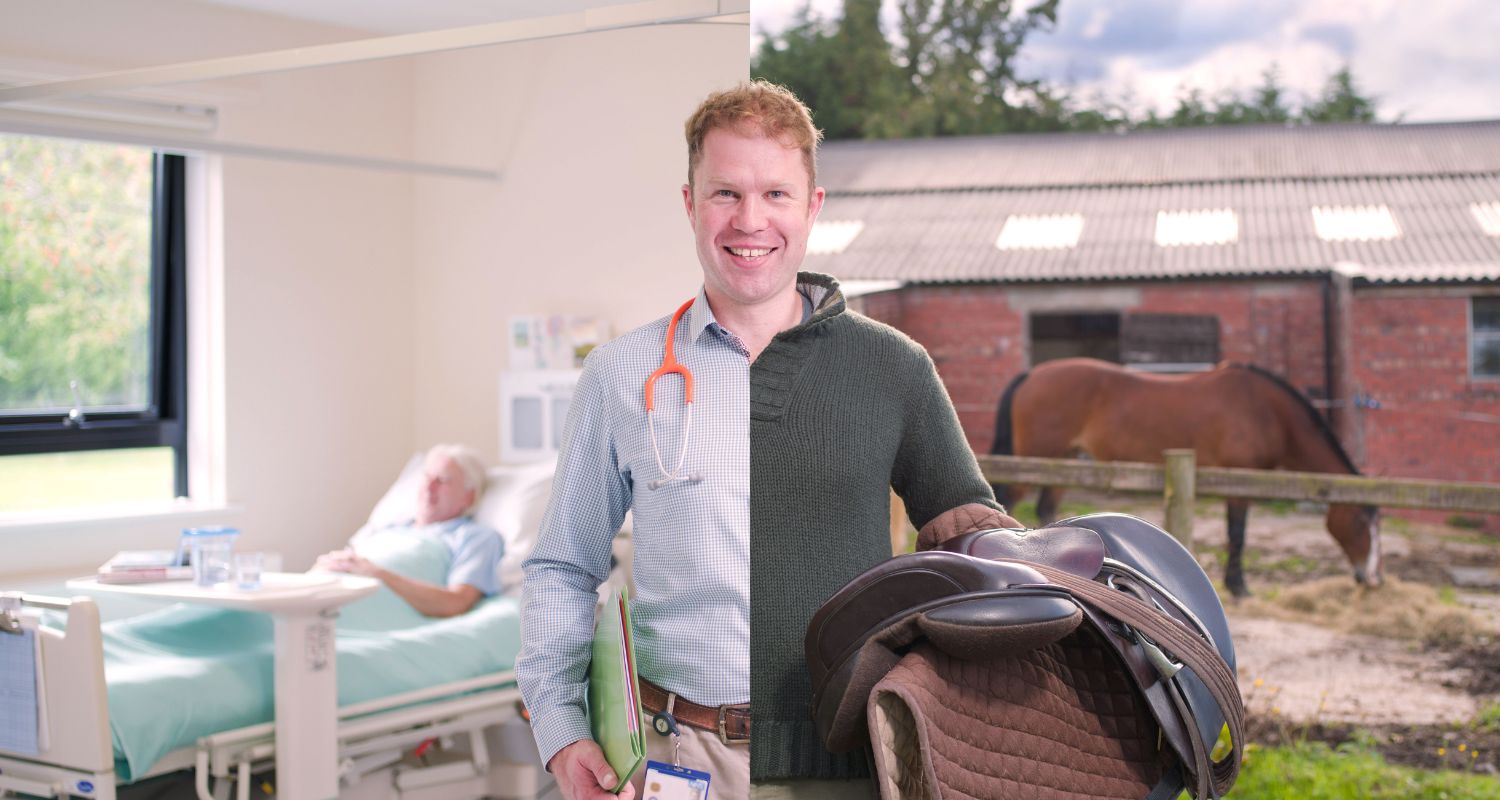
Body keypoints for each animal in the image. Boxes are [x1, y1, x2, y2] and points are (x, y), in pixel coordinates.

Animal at [990, 358, 1374, 594]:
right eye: (1361, 522)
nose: (1370, 578)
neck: (1264, 410)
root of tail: (1032, 374)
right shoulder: (1238, 486)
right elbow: (1237, 535)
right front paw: (1238, 587)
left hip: (1063, 461)